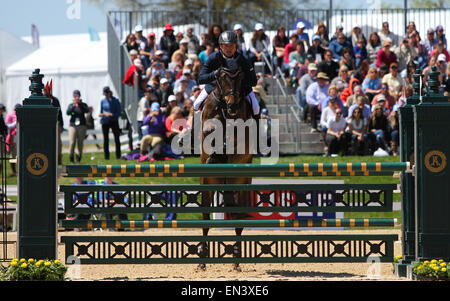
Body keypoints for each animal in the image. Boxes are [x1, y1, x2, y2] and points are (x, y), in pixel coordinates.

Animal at [199, 67, 255, 270]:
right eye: (222, 79)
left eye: (240, 79)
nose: (232, 105)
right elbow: (212, 129)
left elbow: (234, 135)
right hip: (208, 184)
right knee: (205, 219)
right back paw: (202, 261)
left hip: (241, 183)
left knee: (239, 220)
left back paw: (236, 261)